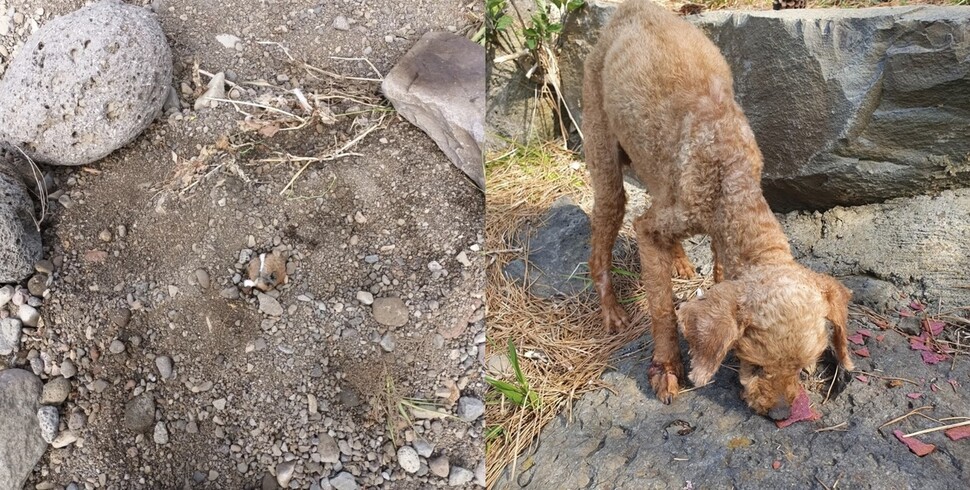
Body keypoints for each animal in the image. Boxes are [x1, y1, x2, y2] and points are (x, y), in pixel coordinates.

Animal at [580, 0, 852, 420]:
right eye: (755, 365)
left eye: (804, 367)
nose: (780, 414)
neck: (729, 172)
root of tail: (632, 9)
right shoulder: (653, 228)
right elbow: (661, 308)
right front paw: (667, 367)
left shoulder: (714, 230)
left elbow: (720, 268)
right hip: (604, 157)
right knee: (602, 241)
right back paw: (611, 309)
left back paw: (678, 260)